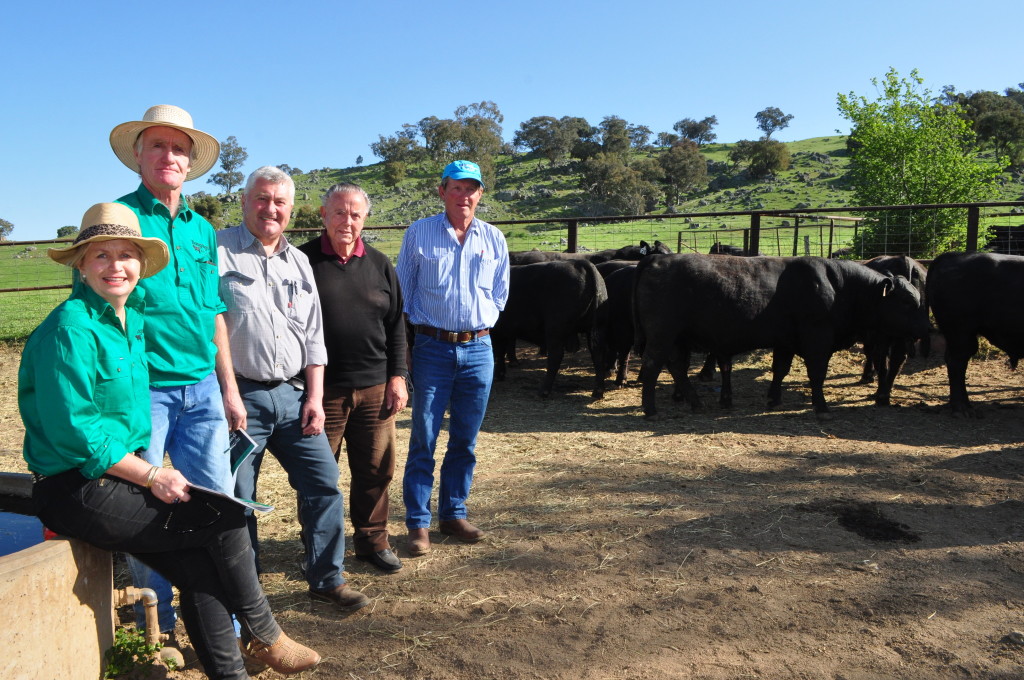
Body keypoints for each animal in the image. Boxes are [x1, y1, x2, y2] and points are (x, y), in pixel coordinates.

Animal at [630, 253, 929, 417]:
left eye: (918, 297)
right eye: (906, 301)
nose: (926, 329)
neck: (838, 285)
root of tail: (656, 258)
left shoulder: (786, 341)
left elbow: (780, 370)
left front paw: (774, 398)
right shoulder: (817, 339)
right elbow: (816, 374)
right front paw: (821, 407)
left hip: (676, 338)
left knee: (677, 369)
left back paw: (695, 402)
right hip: (662, 335)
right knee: (653, 366)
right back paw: (650, 410)